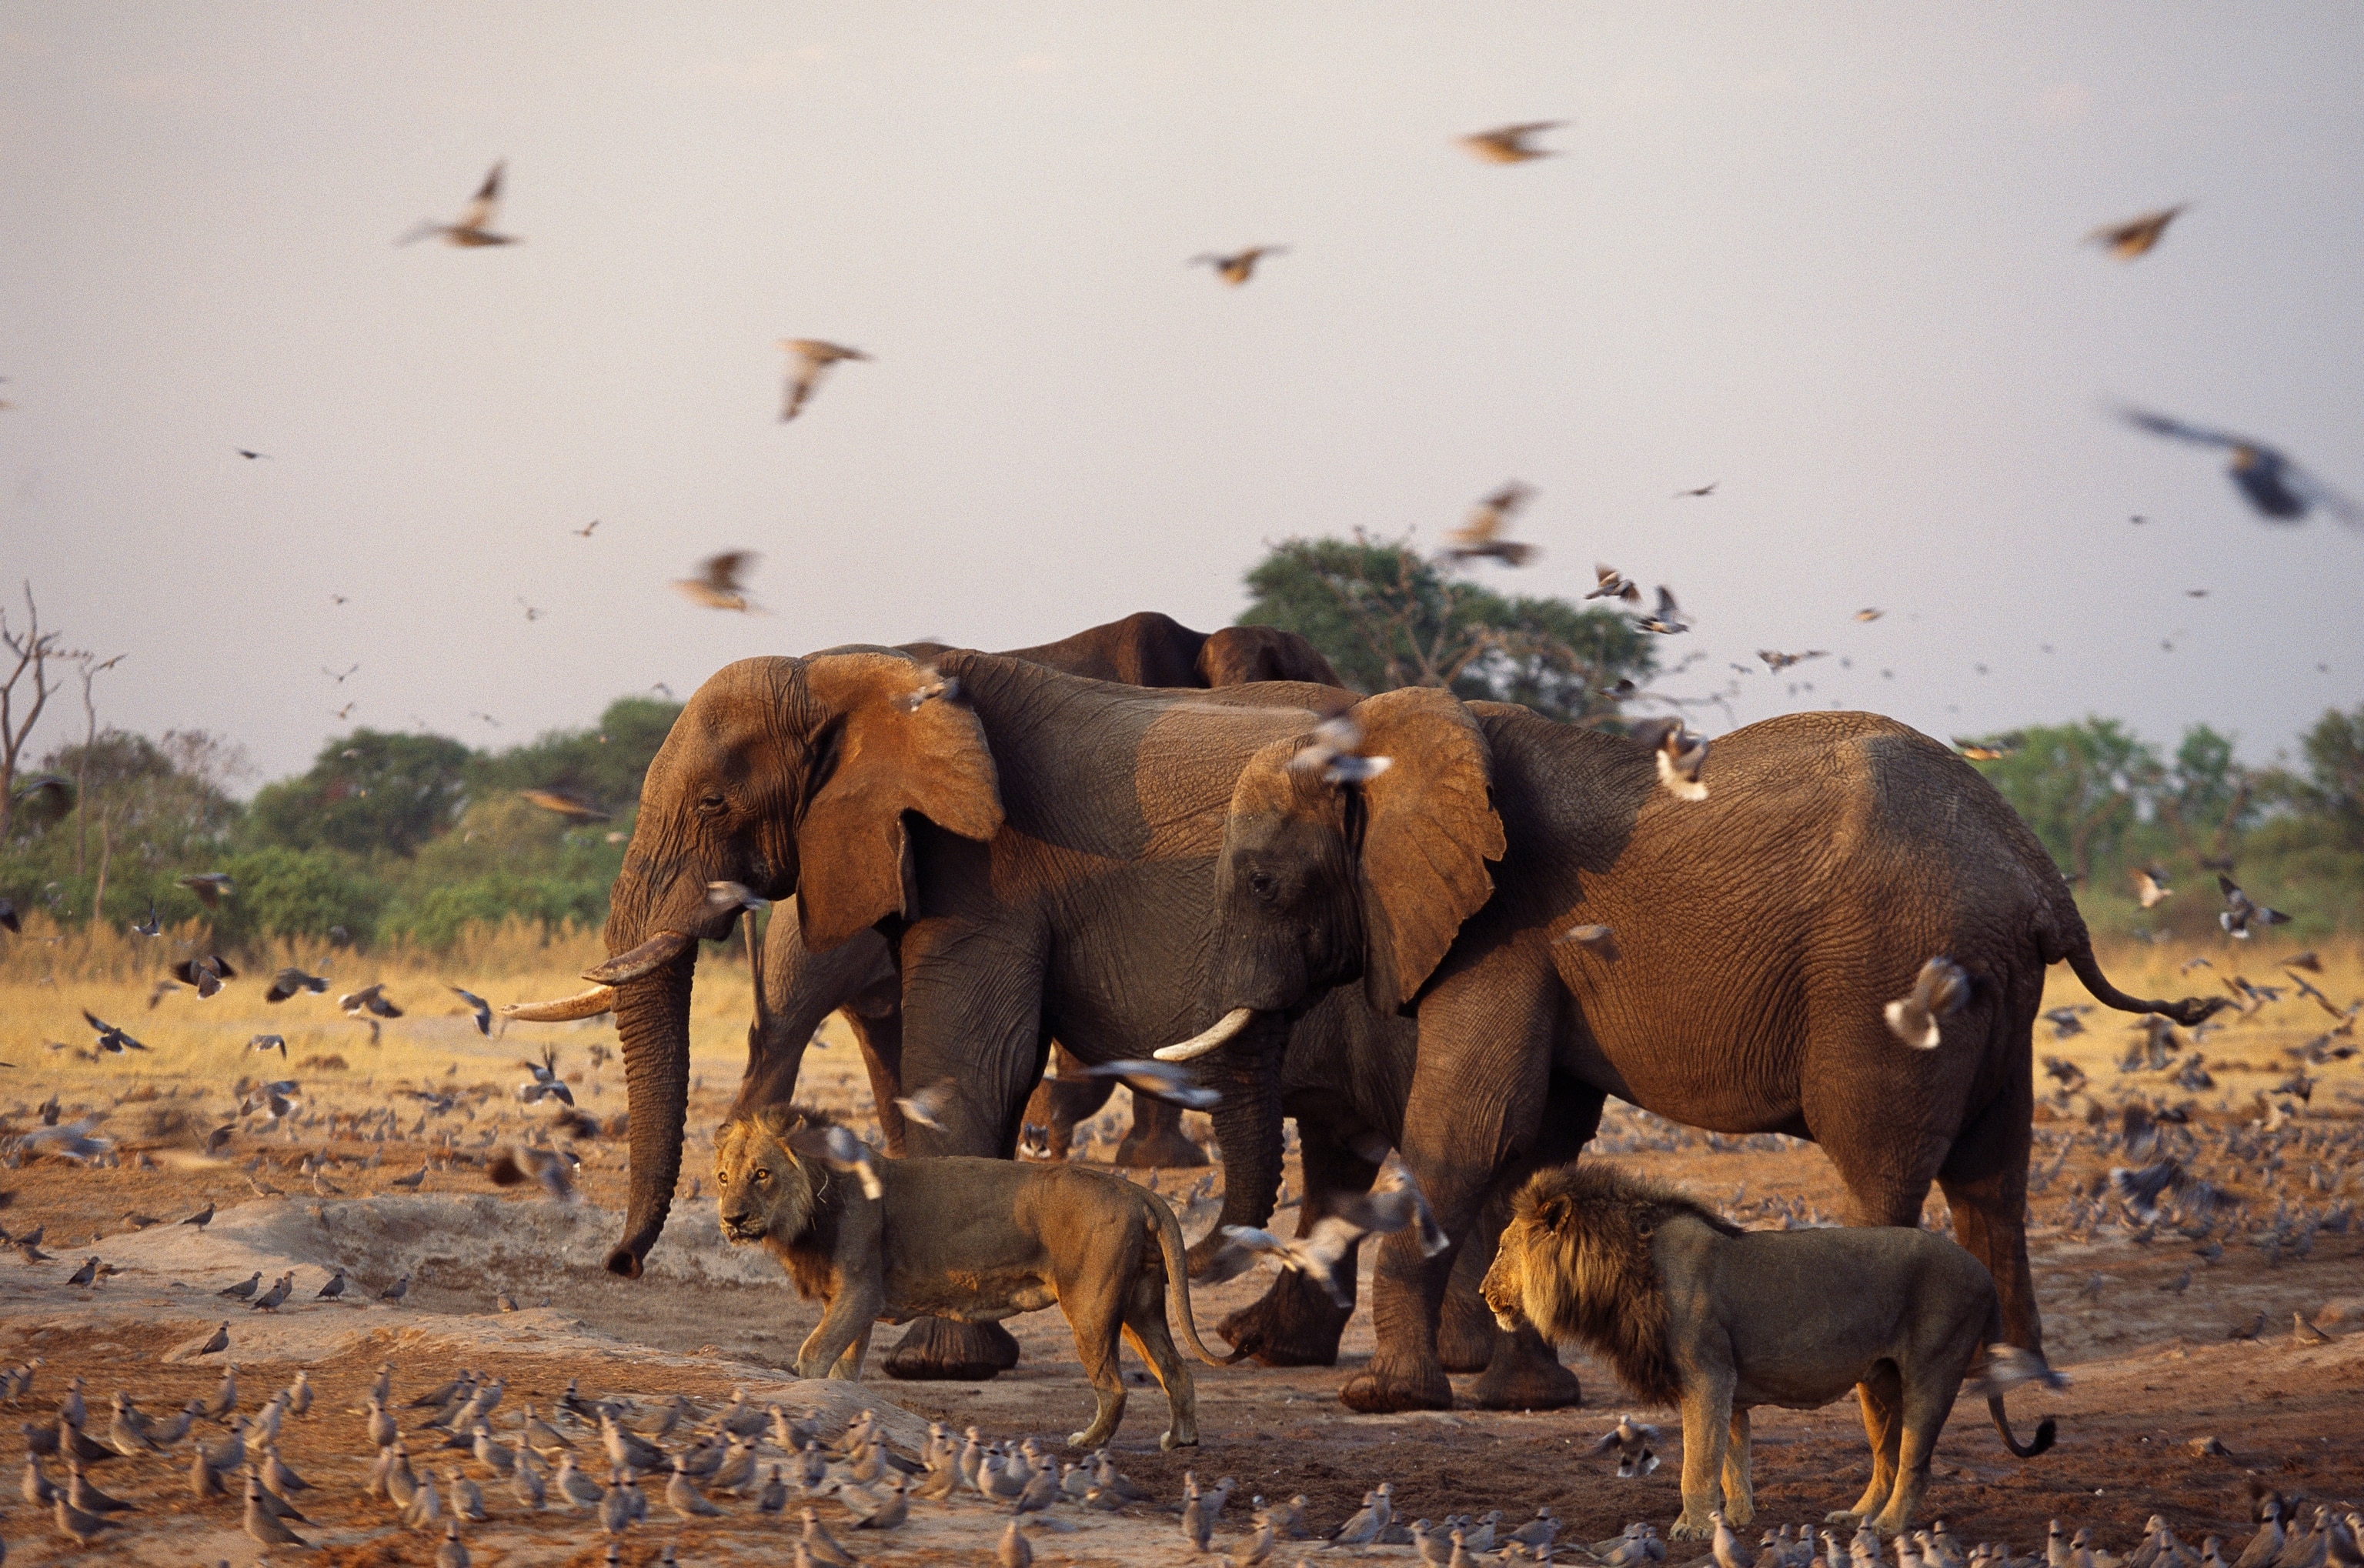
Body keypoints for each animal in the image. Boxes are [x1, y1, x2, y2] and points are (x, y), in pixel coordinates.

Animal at [508, 646, 1348, 1382]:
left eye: (714, 802)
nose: (621, 1263)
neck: (847, 673)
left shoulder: (987, 866)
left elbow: (968, 1069)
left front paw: (935, 1363)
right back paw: (1276, 1348)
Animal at [713, 1104, 1227, 1450]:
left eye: (762, 1174)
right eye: (722, 1177)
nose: (732, 1220)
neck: (809, 1211)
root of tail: (1135, 1189)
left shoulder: (860, 1293)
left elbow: (813, 1353)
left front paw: (805, 1397)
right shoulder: (849, 1303)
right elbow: (846, 1370)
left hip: (1091, 1306)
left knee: (1115, 1388)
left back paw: (1087, 1442)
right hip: (1139, 1305)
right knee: (1176, 1370)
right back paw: (1181, 1440)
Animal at [1166, 688, 2225, 1412]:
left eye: (1260, 882)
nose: (1226, 1344)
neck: (1391, 739)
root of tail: (2036, 869)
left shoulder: (1502, 930)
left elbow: (1470, 1127)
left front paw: (1383, 1400)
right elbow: (1535, 1141)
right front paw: (1527, 1400)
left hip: (1890, 976)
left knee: (1884, 1163)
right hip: (1999, 994)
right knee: (1994, 1178)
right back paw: (2005, 1375)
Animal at [1479, 1163, 2060, 1539]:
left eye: (1504, 1247)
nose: (1484, 1292)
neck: (1620, 1269)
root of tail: (1982, 1273)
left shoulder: (1707, 1376)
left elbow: (1697, 1463)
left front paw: (1691, 1527)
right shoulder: (1729, 1389)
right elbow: (1731, 1460)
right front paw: (1734, 1520)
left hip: (1930, 1374)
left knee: (1915, 1464)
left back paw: (1889, 1528)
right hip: (1877, 1383)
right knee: (1887, 1460)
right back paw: (1857, 1518)